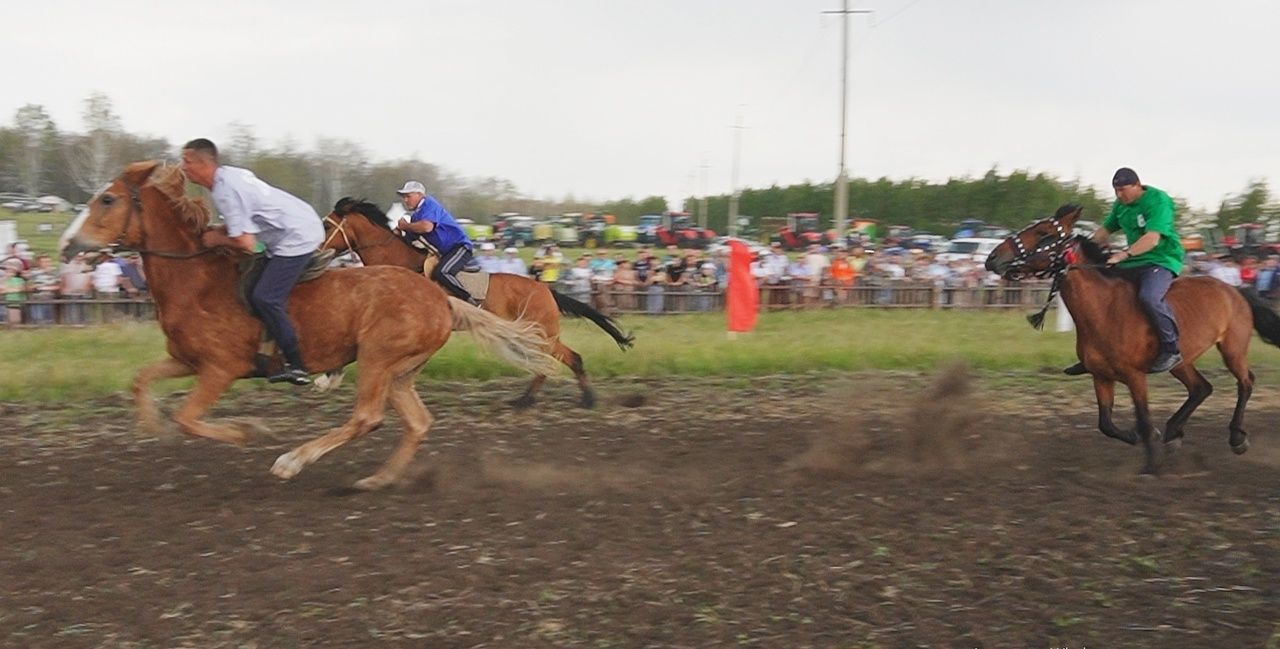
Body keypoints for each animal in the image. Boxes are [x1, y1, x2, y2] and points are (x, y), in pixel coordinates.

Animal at [62, 160, 558, 488]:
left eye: (107, 199)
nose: (69, 244)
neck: (197, 280)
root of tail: (441, 297)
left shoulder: (221, 368)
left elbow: (188, 417)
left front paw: (247, 431)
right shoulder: (187, 360)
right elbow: (142, 381)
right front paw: (154, 428)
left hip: (378, 357)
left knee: (367, 417)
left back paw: (293, 460)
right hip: (401, 370)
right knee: (417, 422)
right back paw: (378, 479)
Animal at [322, 199, 632, 412]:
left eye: (326, 225)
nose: (315, 250)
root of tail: (545, 288)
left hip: (541, 333)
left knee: (566, 360)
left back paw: (579, 400)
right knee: (547, 364)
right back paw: (529, 400)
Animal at [983, 206, 1274, 476]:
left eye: (1044, 234)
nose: (992, 258)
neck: (1104, 310)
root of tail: (1235, 289)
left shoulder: (1135, 376)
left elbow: (1143, 419)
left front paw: (1151, 464)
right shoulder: (1101, 376)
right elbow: (1105, 423)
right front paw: (1139, 437)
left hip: (1232, 348)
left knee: (1245, 383)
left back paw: (1236, 438)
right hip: (1182, 361)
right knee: (1201, 388)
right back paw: (1173, 433)